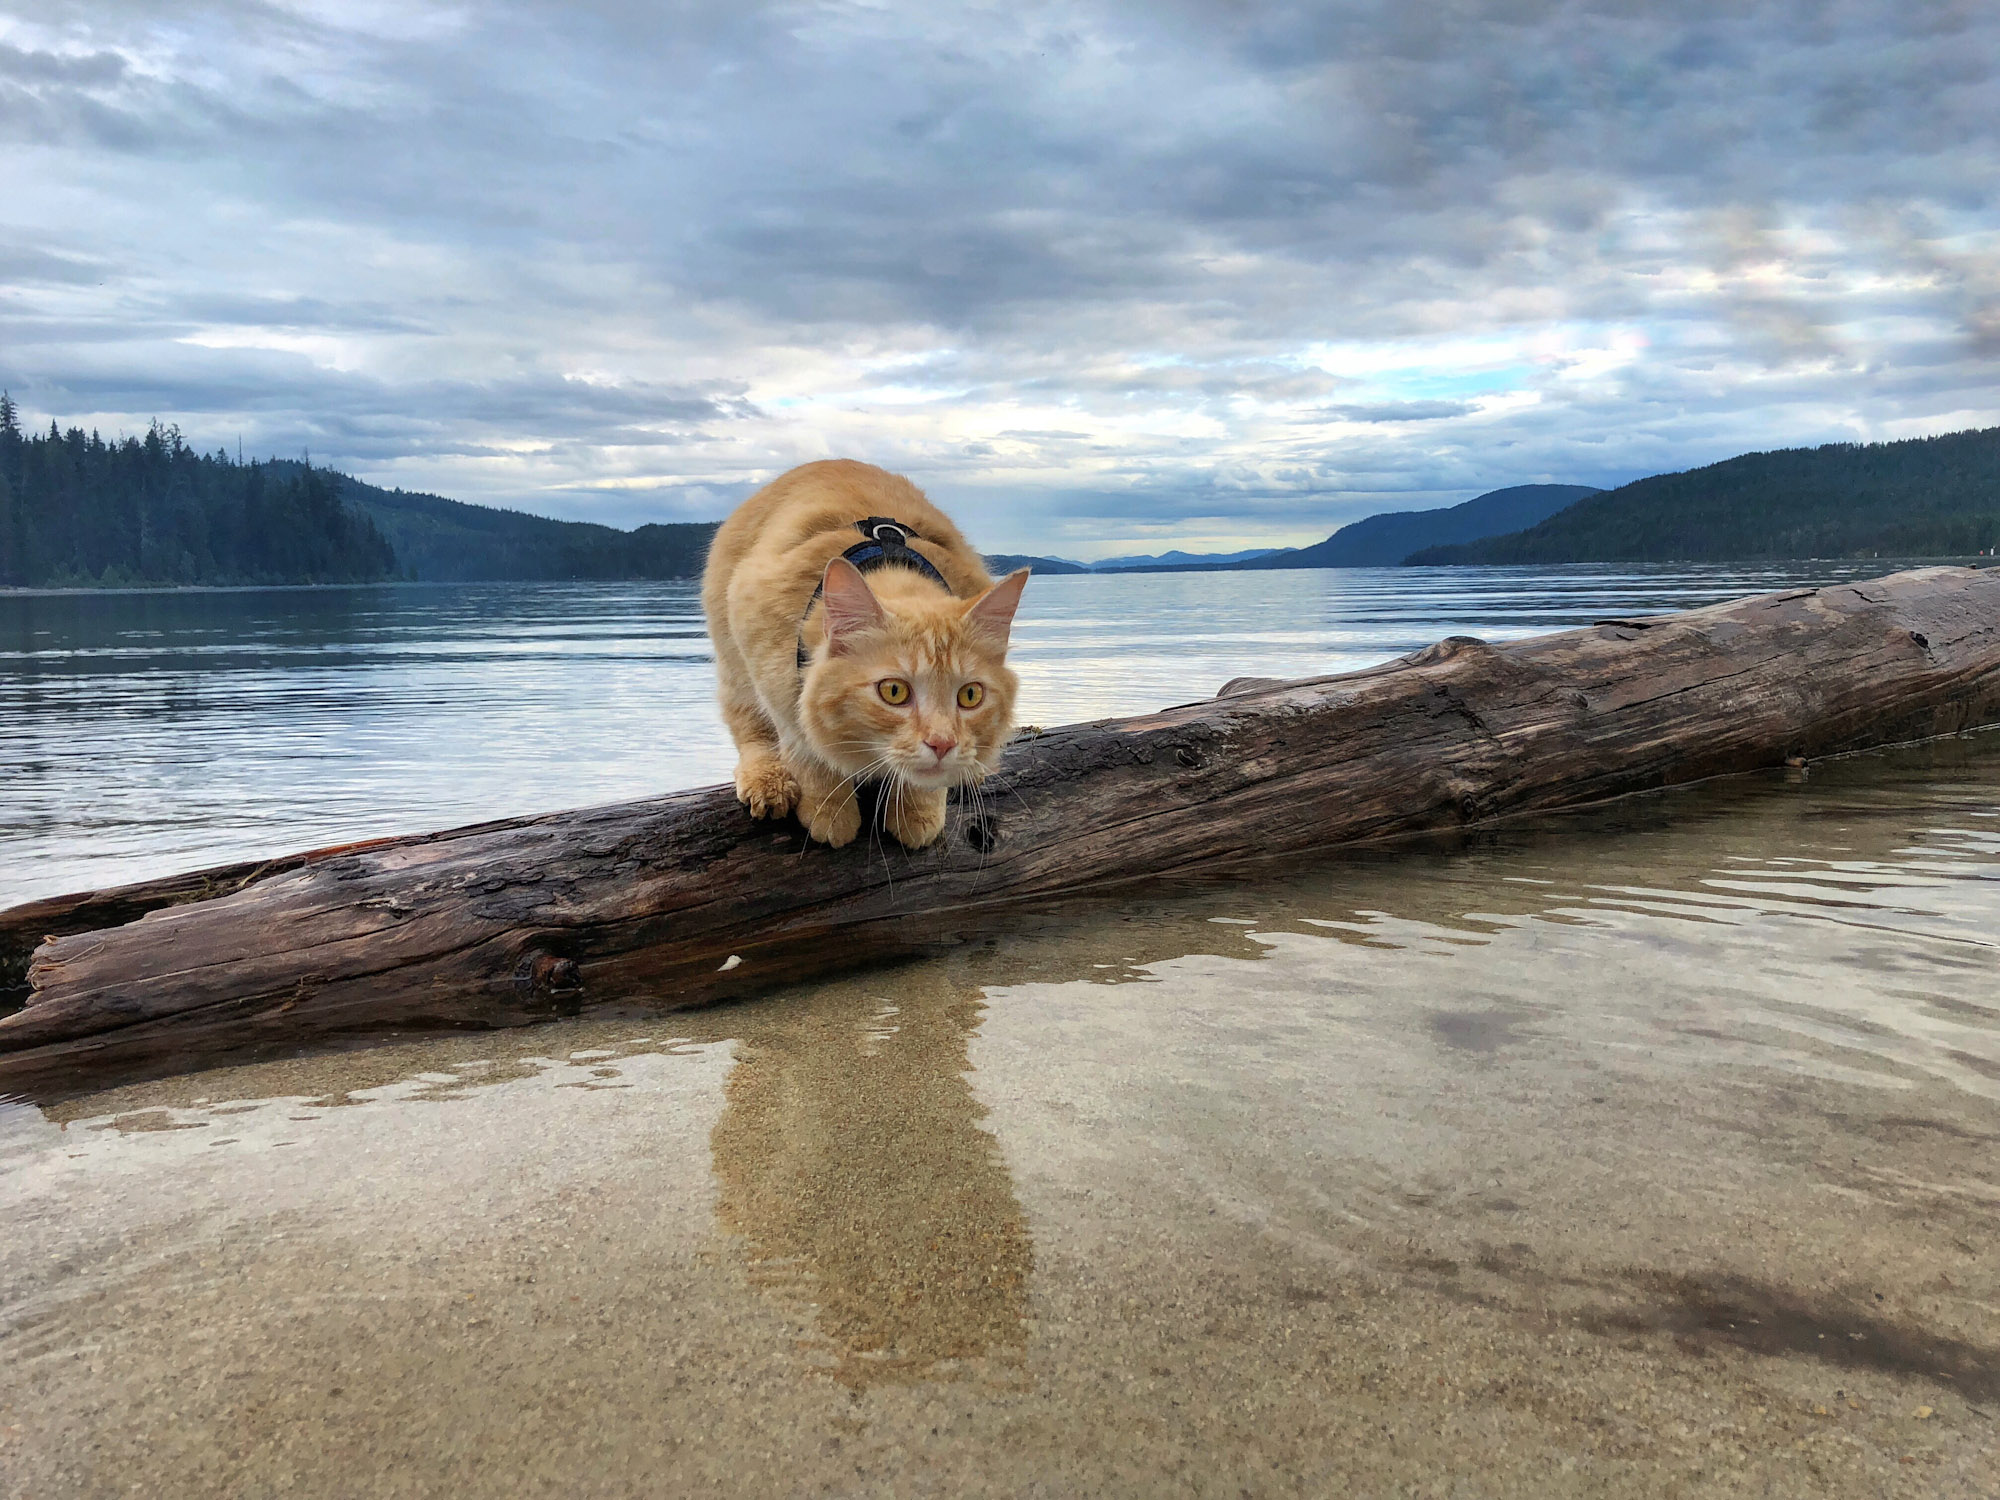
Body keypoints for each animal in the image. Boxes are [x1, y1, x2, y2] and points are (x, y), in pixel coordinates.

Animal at [700, 458, 1024, 852]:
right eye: (894, 692)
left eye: (970, 695)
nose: (942, 744)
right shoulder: (759, 636)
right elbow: (800, 736)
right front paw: (829, 809)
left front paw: (918, 809)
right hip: (734, 662)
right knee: (750, 729)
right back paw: (768, 782)